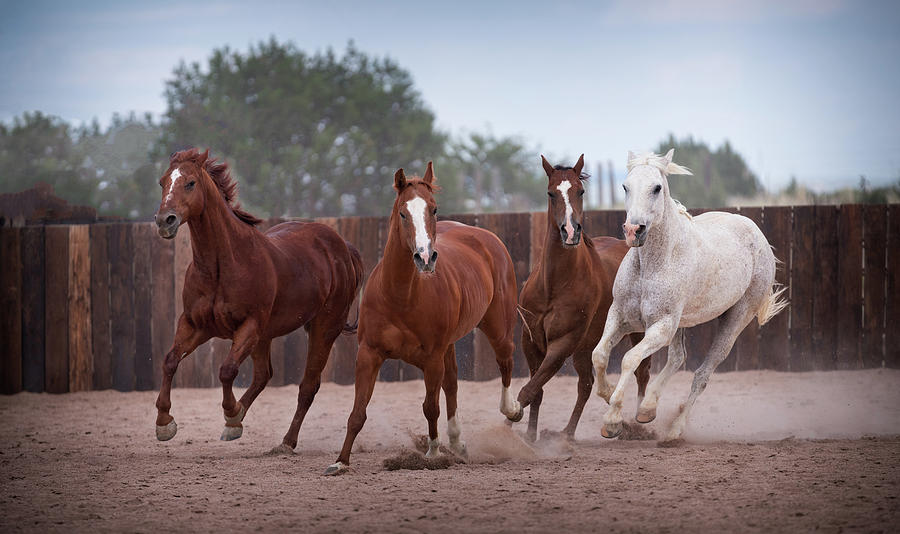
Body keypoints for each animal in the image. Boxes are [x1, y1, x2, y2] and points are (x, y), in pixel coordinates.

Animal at [152, 150, 362, 448]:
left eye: (190, 183)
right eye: (162, 182)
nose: (164, 221)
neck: (223, 265)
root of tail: (343, 248)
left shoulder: (249, 326)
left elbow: (227, 370)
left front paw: (231, 412)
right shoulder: (195, 325)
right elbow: (170, 361)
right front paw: (164, 423)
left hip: (323, 328)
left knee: (308, 386)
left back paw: (285, 441)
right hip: (266, 336)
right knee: (264, 375)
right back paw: (239, 422)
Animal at [324, 162, 520, 478]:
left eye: (434, 209)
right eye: (403, 213)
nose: (425, 257)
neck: (400, 296)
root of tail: (485, 238)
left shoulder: (432, 358)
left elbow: (430, 407)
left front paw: (433, 453)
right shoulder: (368, 354)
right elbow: (357, 412)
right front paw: (340, 461)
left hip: (498, 327)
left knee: (505, 362)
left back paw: (511, 410)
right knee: (452, 384)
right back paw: (458, 443)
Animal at [512, 156, 648, 444]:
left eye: (581, 191)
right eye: (550, 193)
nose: (570, 231)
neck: (554, 284)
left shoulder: (563, 343)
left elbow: (529, 389)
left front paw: (509, 420)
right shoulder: (531, 341)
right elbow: (536, 389)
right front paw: (528, 435)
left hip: (636, 332)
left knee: (642, 371)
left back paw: (640, 420)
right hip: (585, 347)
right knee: (585, 385)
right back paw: (567, 433)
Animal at [588, 149, 784, 442]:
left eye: (657, 187)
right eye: (625, 186)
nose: (634, 231)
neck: (651, 266)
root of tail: (758, 236)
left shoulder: (661, 326)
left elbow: (629, 359)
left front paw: (612, 420)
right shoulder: (621, 316)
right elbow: (599, 355)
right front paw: (609, 394)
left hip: (736, 318)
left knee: (702, 375)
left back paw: (674, 430)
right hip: (682, 323)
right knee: (678, 358)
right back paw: (647, 409)